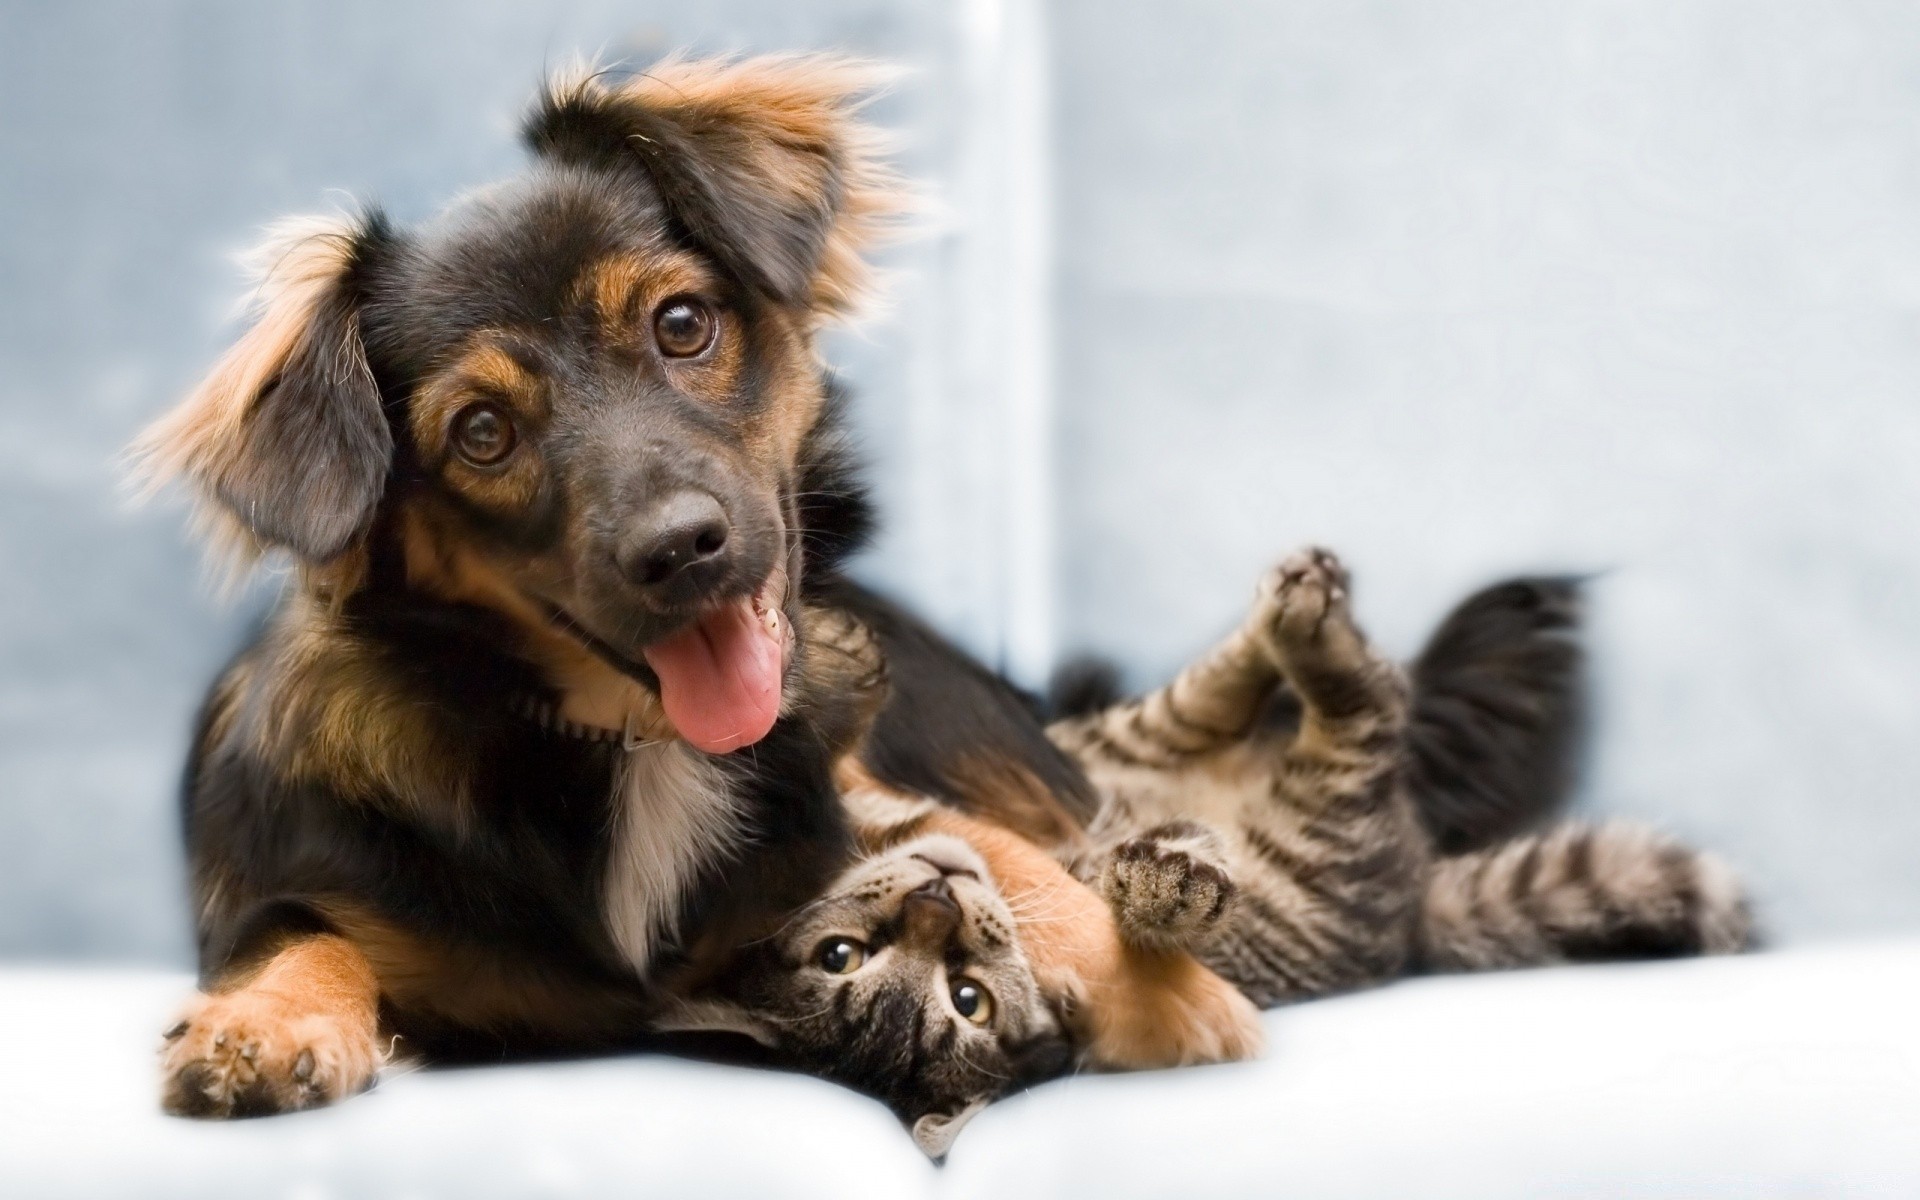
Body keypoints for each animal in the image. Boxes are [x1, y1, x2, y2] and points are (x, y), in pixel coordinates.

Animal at [135, 58, 1105, 1113]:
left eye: (681, 324)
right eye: (482, 432)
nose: (679, 549)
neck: (639, 743)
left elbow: (1000, 863)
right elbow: (298, 931)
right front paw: (266, 1023)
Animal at [668, 549, 1751, 1152]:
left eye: (841, 953)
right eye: (962, 1000)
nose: (932, 901)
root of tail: (1410, 902)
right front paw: (1165, 886)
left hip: (1118, 743)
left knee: (1213, 696)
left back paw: (1291, 605)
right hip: (1322, 826)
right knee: (1363, 709)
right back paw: (1308, 638)